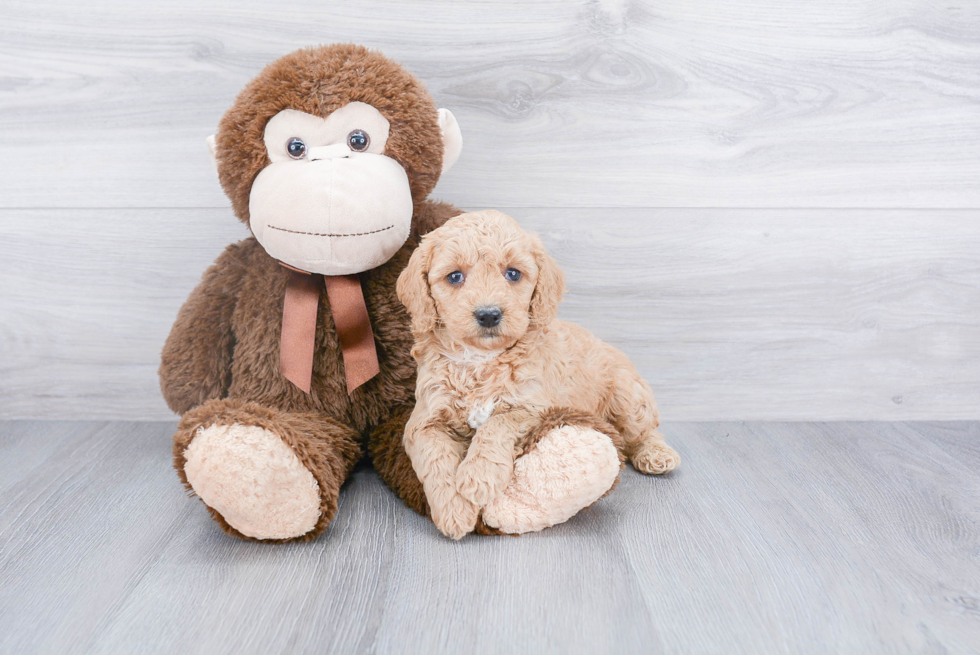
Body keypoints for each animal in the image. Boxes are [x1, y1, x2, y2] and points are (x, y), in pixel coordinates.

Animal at [394, 210, 676, 540]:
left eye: (513, 274)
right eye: (454, 276)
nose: (488, 314)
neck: (480, 360)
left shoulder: (533, 406)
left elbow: (498, 423)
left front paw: (478, 476)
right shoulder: (425, 419)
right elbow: (436, 459)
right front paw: (454, 511)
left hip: (627, 395)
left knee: (644, 430)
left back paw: (656, 454)